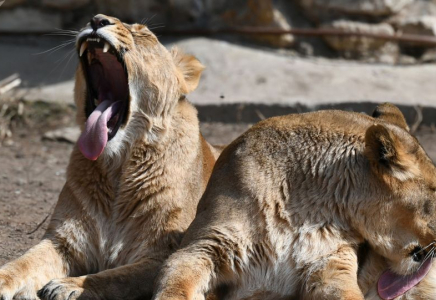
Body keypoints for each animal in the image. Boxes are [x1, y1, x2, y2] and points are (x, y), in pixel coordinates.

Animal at [0, 14, 220, 300]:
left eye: (144, 35)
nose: (97, 19)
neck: (118, 169)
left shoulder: (165, 253)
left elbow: (115, 277)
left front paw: (69, 285)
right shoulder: (63, 242)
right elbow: (23, 263)